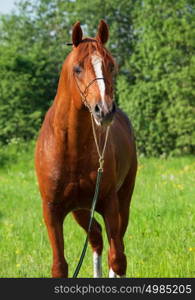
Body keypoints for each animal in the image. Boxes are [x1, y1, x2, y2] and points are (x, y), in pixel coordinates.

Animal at [35, 18, 137, 278]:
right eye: (78, 68)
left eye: (111, 66)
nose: (105, 110)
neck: (71, 148)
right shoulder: (52, 211)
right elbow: (60, 266)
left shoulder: (109, 203)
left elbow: (118, 258)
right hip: (81, 210)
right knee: (96, 237)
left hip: (123, 199)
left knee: (114, 245)